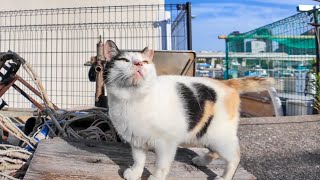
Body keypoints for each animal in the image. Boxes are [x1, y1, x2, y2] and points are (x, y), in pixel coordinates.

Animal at [104, 40, 274, 179]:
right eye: (124, 60)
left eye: (145, 61)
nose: (139, 64)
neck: (133, 98)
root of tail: (226, 83)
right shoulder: (137, 140)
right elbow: (138, 159)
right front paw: (135, 173)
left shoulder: (166, 143)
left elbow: (161, 165)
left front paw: (155, 178)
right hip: (207, 133)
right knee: (216, 151)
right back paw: (202, 160)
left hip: (220, 135)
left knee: (235, 156)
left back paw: (224, 177)